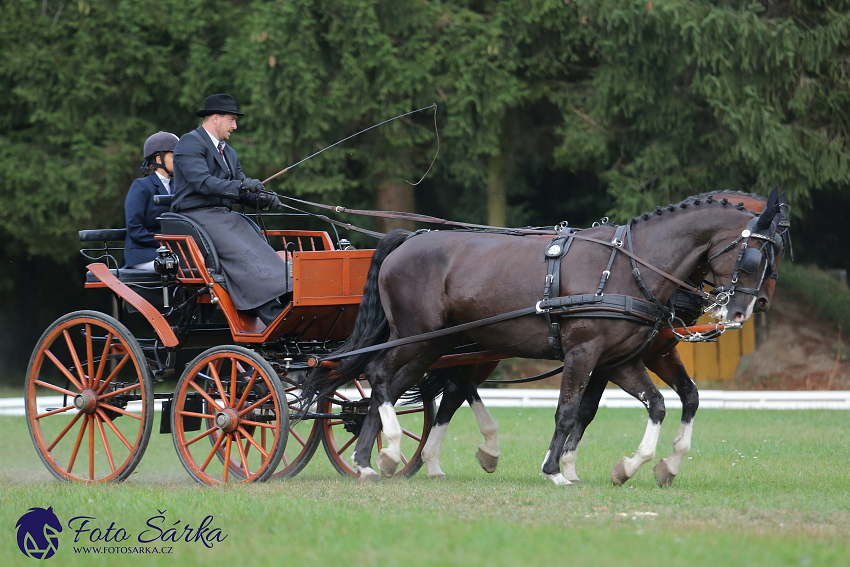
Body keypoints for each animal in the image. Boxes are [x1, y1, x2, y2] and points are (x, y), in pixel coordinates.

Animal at [304, 192, 780, 484]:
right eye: (753, 256)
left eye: (774, 253)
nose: (745, 310)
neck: (629, 266)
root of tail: (405, 239)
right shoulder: (584, 352)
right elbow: (568, 411)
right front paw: (555, 469)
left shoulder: (621, 359)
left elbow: (659, 404)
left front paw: (633, 466)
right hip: (414, 336)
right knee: (379, 374)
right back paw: (389, 451)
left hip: (436, 344)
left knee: (406, 387)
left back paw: (371, 460)